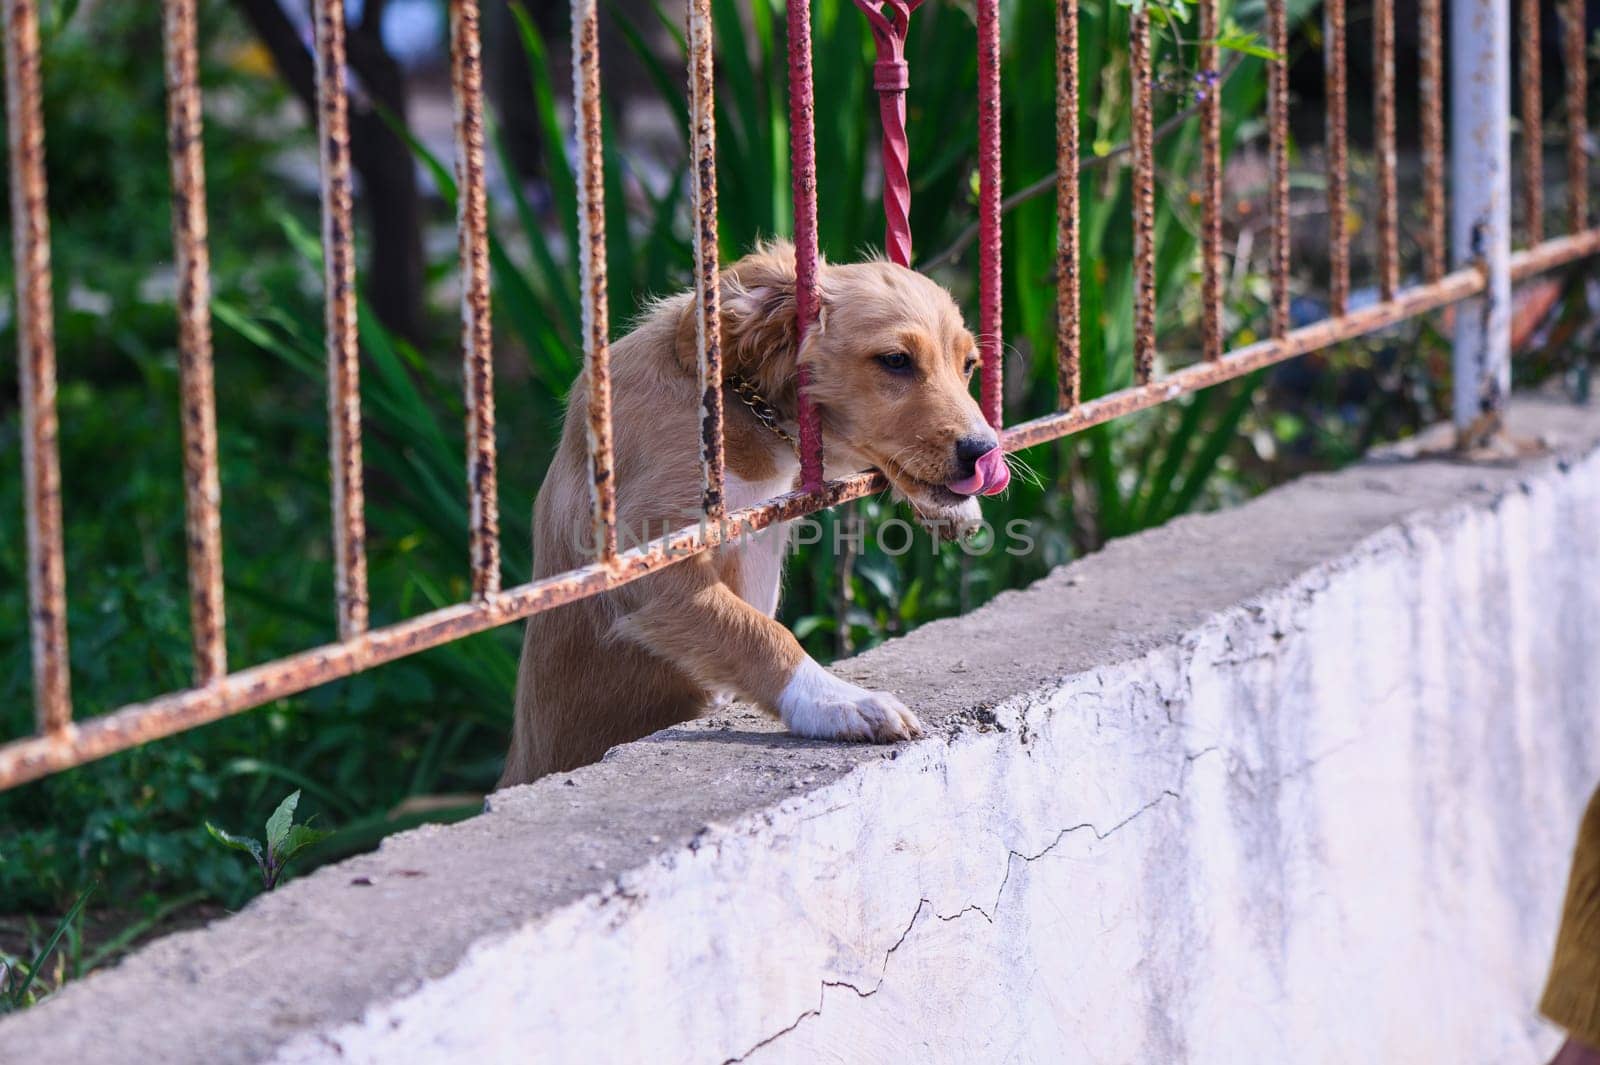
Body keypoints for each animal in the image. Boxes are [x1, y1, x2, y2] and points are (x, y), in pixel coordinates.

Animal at [499, 243, 1004, 786]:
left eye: (969, 365)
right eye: (895, 361)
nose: (986, 453)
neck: (736, 405)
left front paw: (958, 507)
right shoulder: (645, 558)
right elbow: (756, 632)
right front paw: (836, 700)